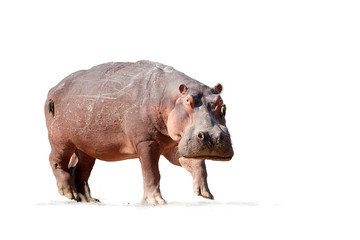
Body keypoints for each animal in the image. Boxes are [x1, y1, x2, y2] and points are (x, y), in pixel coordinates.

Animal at [44, 60, 233, 204]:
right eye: (188, 101)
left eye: (223, 105)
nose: (213, 137)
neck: (169, 98)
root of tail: (52, 89)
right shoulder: (146, 141)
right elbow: (152, 172)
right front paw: (156, 202)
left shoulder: (175, 144)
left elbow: (195, 162)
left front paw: (205, 193)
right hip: (61, 139)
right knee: (56, 160)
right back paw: (68, 192)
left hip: (87, 146)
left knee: (79, 169)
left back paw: (87, 199)